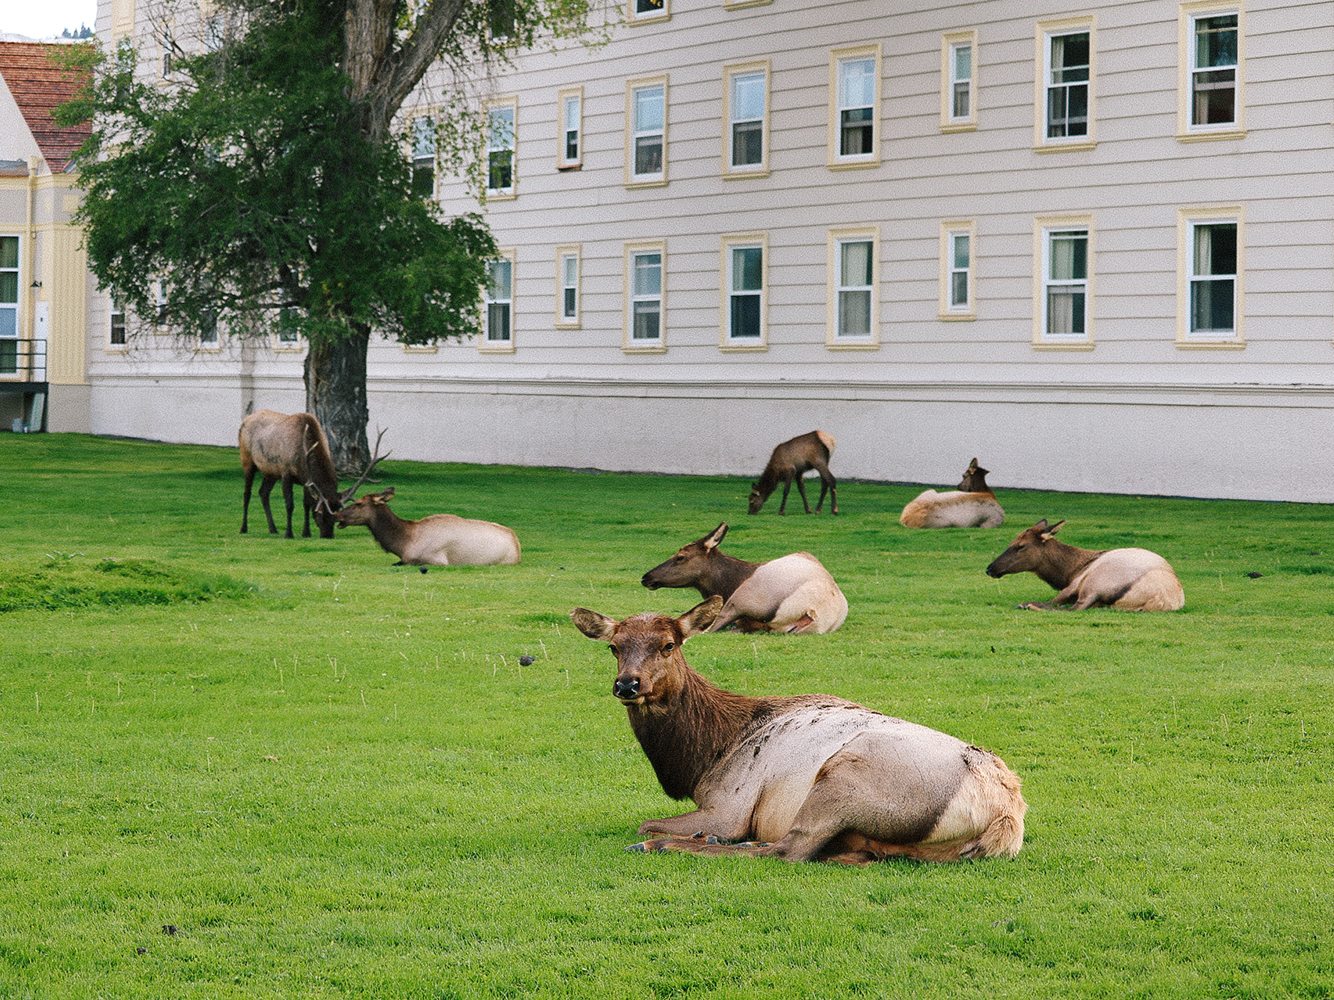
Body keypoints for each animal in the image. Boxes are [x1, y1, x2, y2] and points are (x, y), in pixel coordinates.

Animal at [571, 597, 1027, 864]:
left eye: (668, 645)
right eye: (614, 646)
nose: (627, 684)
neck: (704, 757)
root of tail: (1006, 814)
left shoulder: (729, 807)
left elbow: (647, 823)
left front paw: (677, 837)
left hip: (844, 779)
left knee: (789, 849)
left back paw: (677, 846)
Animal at [985, 519, 1185, 611]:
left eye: (1020, 545)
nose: (990, 568)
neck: (1070, 571)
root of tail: (1157, 600)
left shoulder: (1075, 583)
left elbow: (1056, 600)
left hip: (1095, 582)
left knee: (1073, 608)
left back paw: (1027, 605)